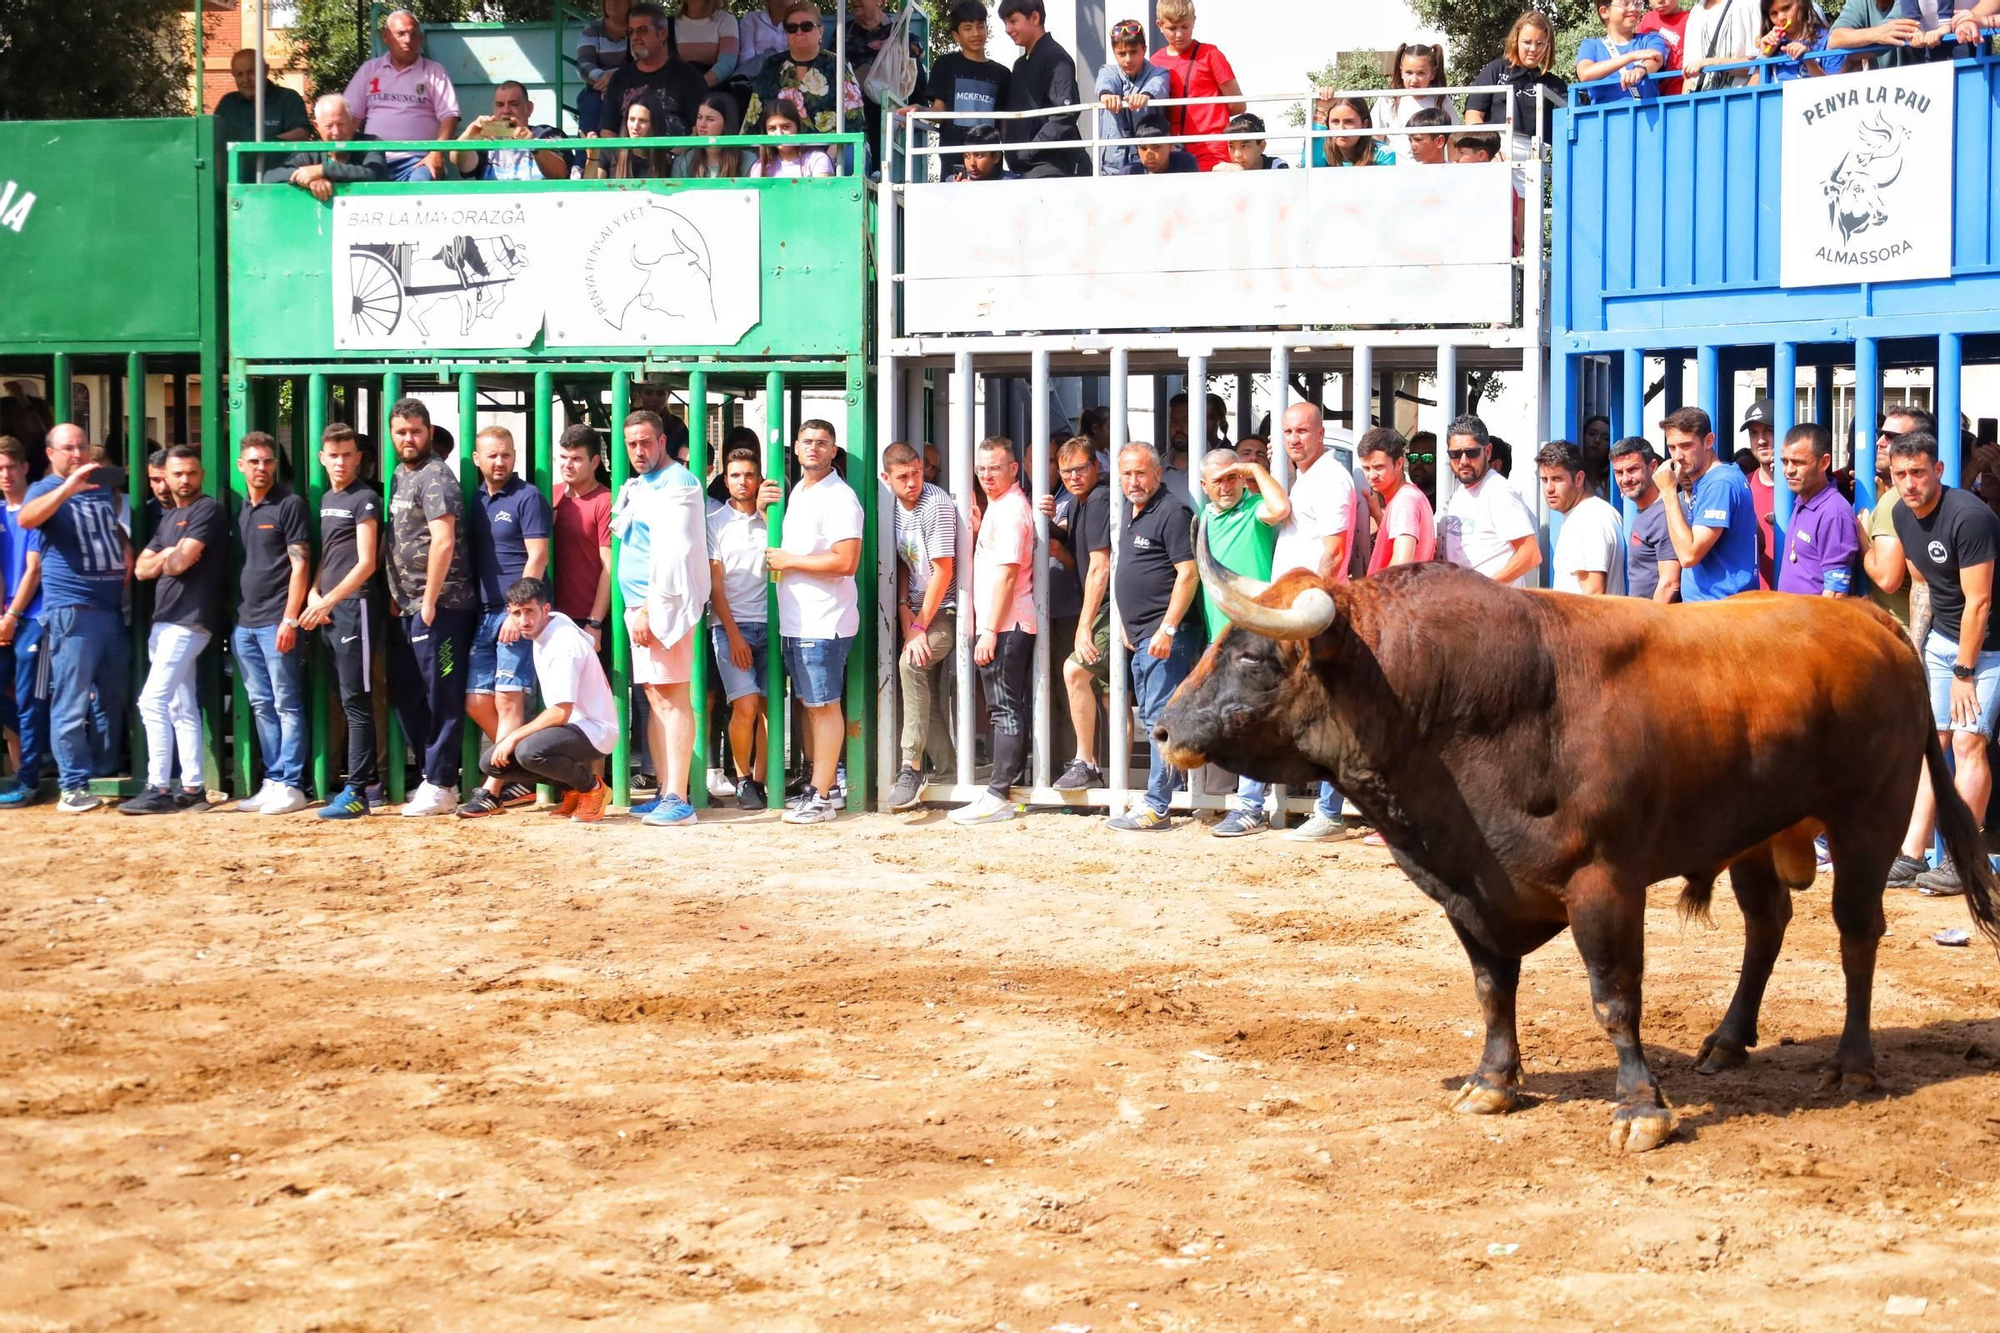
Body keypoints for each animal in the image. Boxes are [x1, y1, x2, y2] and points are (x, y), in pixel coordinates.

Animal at [1160, 536, 2000, 1144]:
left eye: (1251, 654)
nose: (1163, 728)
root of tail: (1870, 619)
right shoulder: (1470, 891)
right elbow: (1493, 989)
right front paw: (1492, 1082)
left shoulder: (1605, 883)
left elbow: (1614, 997)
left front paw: (1640, 1108)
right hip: (1754, 834)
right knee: (1767, 924)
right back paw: (1728, 1040)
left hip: (1870, 820)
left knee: (1857, 932)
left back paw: (1853, 1064)